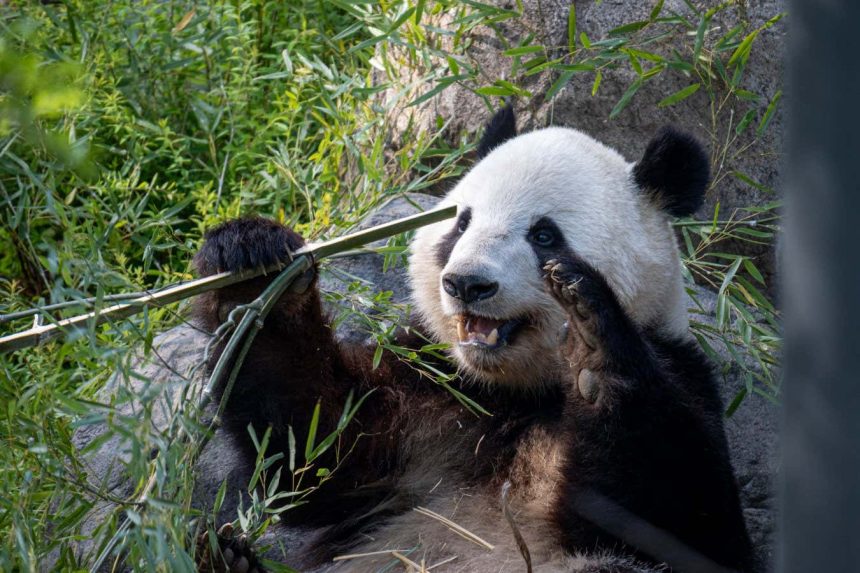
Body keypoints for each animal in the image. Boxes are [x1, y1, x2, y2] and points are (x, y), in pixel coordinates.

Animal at [192, 106, 754, 573]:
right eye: (461, 223)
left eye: (544, 235)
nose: (467, 284)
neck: (520, 394)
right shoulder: (433, 390)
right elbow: (315, 452)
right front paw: (254, 273)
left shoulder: (683, 373)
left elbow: (683, 520)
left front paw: (594, 343)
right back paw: (228, 559)